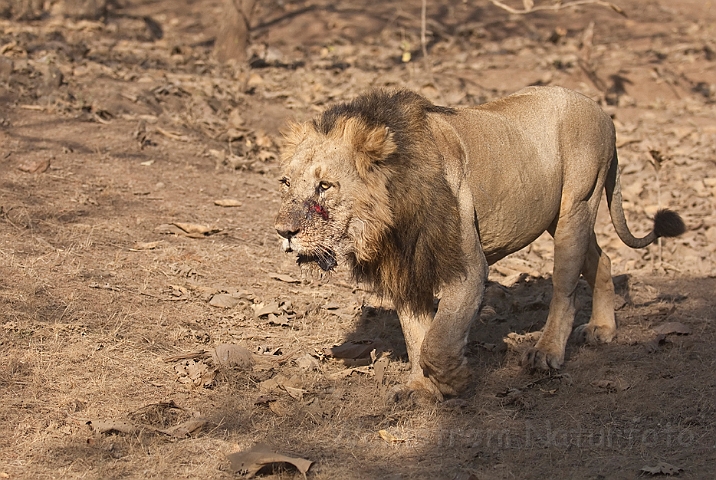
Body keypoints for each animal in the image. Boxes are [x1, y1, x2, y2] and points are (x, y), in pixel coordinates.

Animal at [272, 85, 684, 398]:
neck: (386, 222)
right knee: (603, 260)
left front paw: (454, 380)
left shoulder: (468, 268)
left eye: (325, 186)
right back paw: (603, 329)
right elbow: (416, 336)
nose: (283, 232)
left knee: (565, 290)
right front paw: (420, 389)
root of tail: (599, 108)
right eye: (286, 182)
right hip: (560, 217)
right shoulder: (408, 271)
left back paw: (546, 352)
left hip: (578, 206)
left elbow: (437, 341)